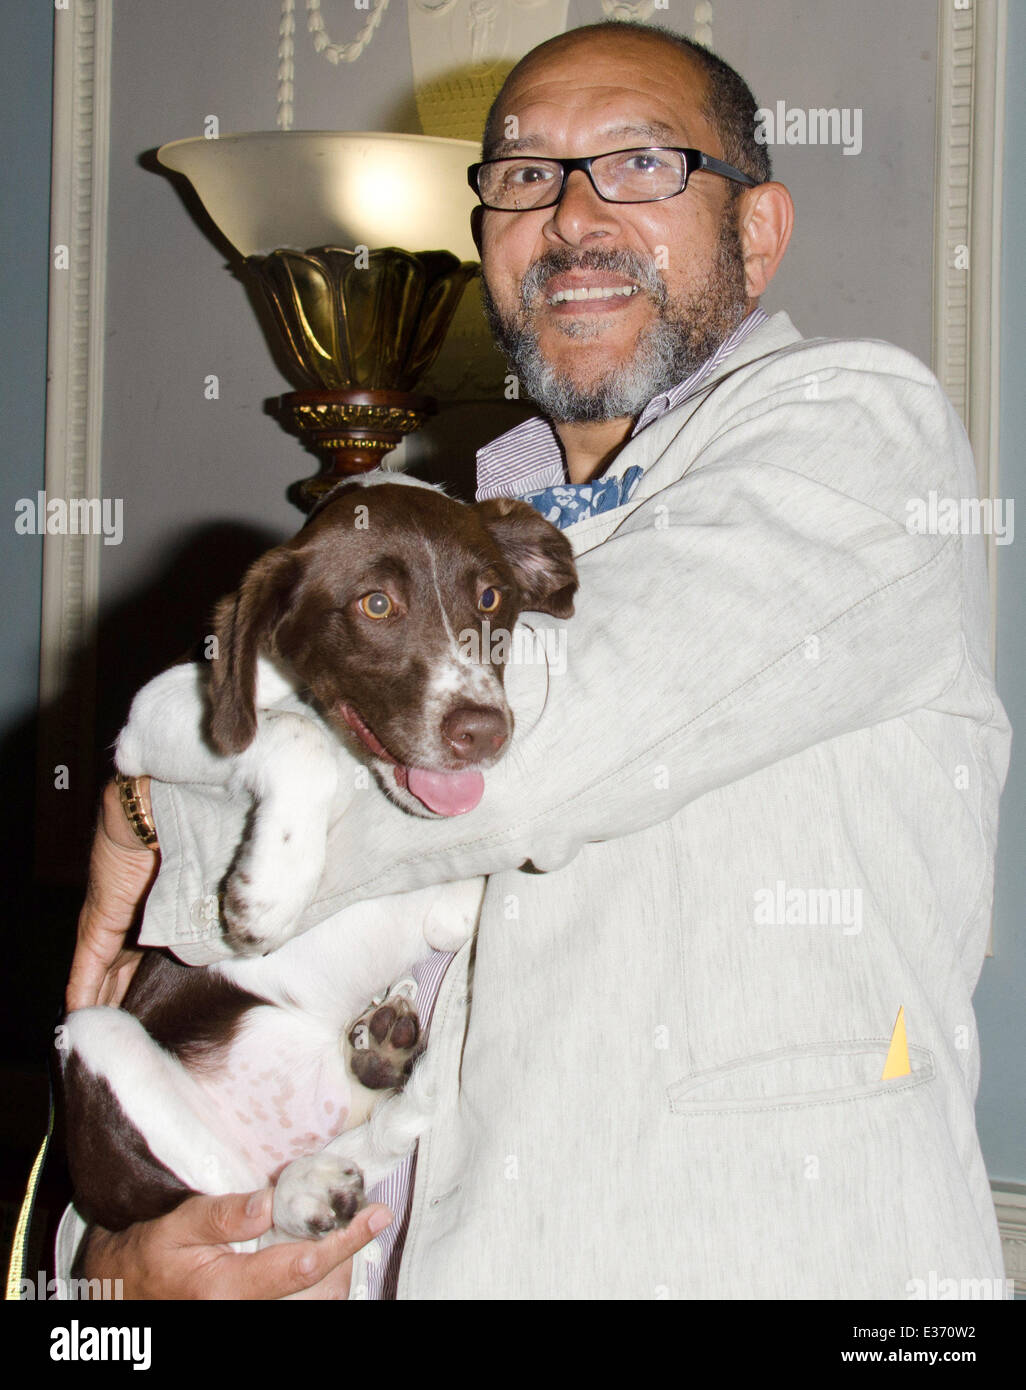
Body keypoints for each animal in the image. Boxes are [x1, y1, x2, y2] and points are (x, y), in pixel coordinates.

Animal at [59, 478, 575, 1251]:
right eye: (376, 605)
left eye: (490, 598)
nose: (484, 732)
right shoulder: (154, 717)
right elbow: (295, 736)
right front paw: (266, 895)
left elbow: (457, 906)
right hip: (96, 1035)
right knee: (228, 1214)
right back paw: (300, 1189)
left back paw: (379, 1054)